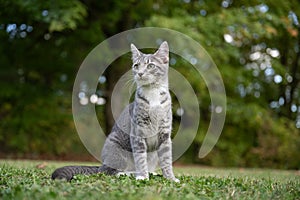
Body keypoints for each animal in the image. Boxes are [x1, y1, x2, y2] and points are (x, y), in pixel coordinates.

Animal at [51, 41, 179, 183]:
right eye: (136, 65)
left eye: (151, 65)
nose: (139, 73)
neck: (152, 94)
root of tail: (101, 164)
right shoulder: (137, 133)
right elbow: (140, 158)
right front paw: (142, 177)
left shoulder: (165, 134)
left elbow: (166, 159)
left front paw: (170, 178)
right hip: (115, 146)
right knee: (109, 171)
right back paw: (128, 174)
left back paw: (151, 173)